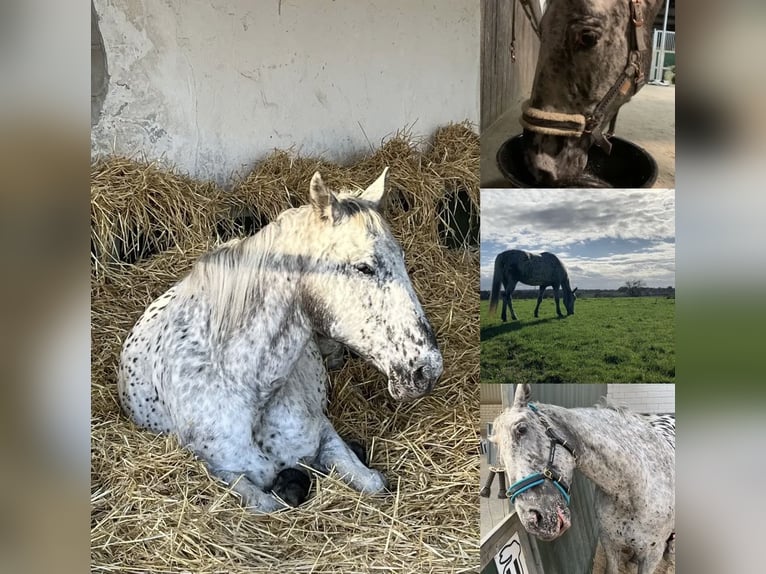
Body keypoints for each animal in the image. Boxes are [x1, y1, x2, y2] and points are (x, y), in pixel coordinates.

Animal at [117, 168, 448, 512]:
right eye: (364, 266)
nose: (428, 369)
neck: (245, 385)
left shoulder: (324, 433)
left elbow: (371, 482)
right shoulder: (222, 472)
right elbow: (266, 504)